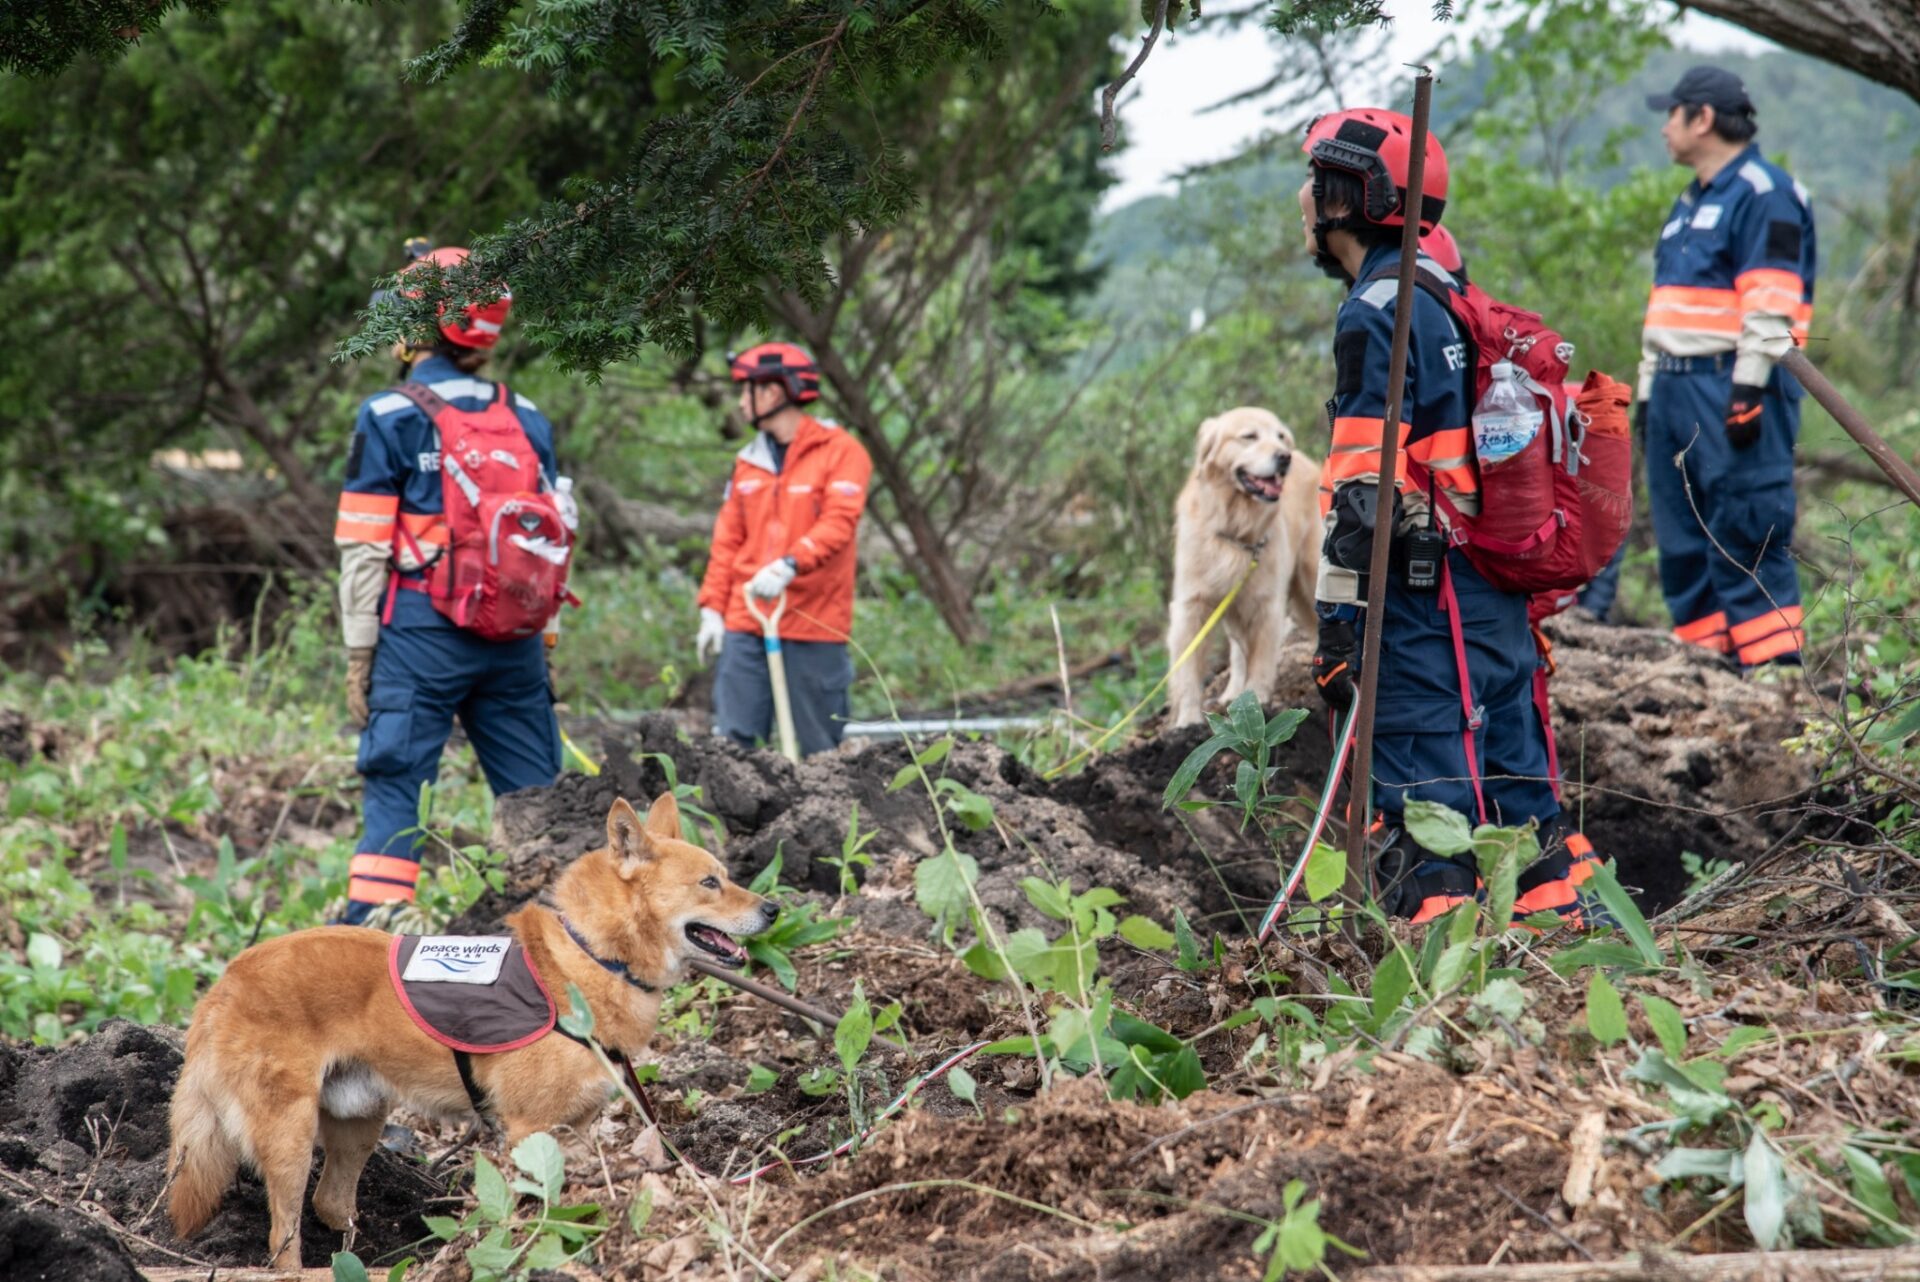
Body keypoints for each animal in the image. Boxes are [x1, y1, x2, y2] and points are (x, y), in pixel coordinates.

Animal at [168, 794, 771, 1266]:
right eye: (710, 882)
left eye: (727, 875)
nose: (774, 908)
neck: (589, 957)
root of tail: (224, 983)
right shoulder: (528, 1127)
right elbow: (534, 1207)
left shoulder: (575, 1129)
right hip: (290, 1138)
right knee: (283, 1240)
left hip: (361, 1119)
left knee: (331, 1203)